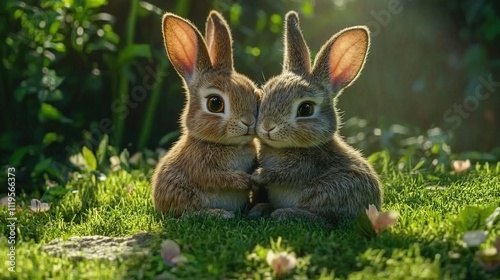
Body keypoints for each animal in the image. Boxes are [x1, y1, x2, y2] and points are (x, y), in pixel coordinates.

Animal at [153, 10, 260, 218]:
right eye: (215, 103)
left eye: (257, 96)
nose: (249, 121)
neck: (229, 145)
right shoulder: (199, 165)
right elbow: (215, 177)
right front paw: (243, 180)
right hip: (182, 191)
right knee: (190, 212)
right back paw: (220, 214)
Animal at [250, 11, 382, 223]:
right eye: (262, 95)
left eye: (305, 109)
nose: (268, 126)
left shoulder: (306, 167)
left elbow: (285, 174)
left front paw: (258, 175)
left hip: (334, 188)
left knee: (326, 219)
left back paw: (284, 213)